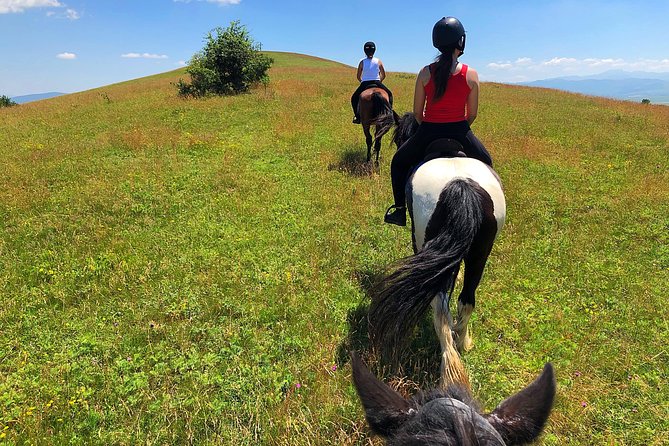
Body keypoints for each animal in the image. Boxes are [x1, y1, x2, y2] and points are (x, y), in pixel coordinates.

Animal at [368, 112, 504, 386]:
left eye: (398, 138)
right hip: (481, 253)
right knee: (466, 300)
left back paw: (450, 367)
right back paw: (462, 342)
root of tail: (461, 186)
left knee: (440, 307)